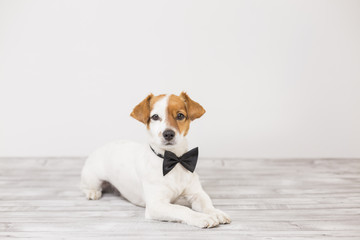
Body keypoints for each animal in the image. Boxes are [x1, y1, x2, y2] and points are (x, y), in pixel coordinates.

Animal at [80, 92, 232, 229]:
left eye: (180, 115)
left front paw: (215, 212)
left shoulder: (196, 194)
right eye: (155, 117)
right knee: (85, 186)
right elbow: (182, 209)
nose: (168, 134)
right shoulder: (156, 205)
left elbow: (207, 204)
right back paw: (92, 192)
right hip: (93, 178)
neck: (174, 161)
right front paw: (201, 217)